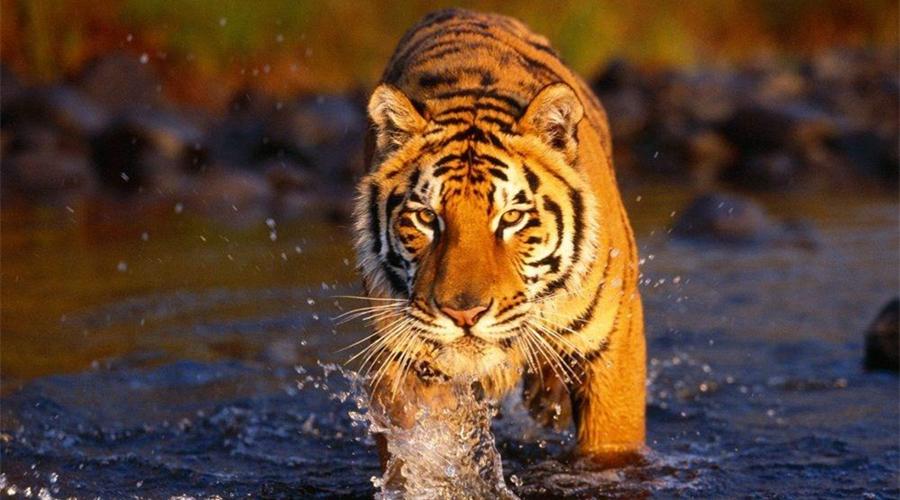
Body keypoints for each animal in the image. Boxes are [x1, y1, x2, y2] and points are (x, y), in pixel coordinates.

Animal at [350, 8, 645, 468]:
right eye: (426, 217)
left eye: (512, 218)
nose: (464, 315)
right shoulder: (404, 358)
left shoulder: (614, 345)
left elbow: (610, 445)